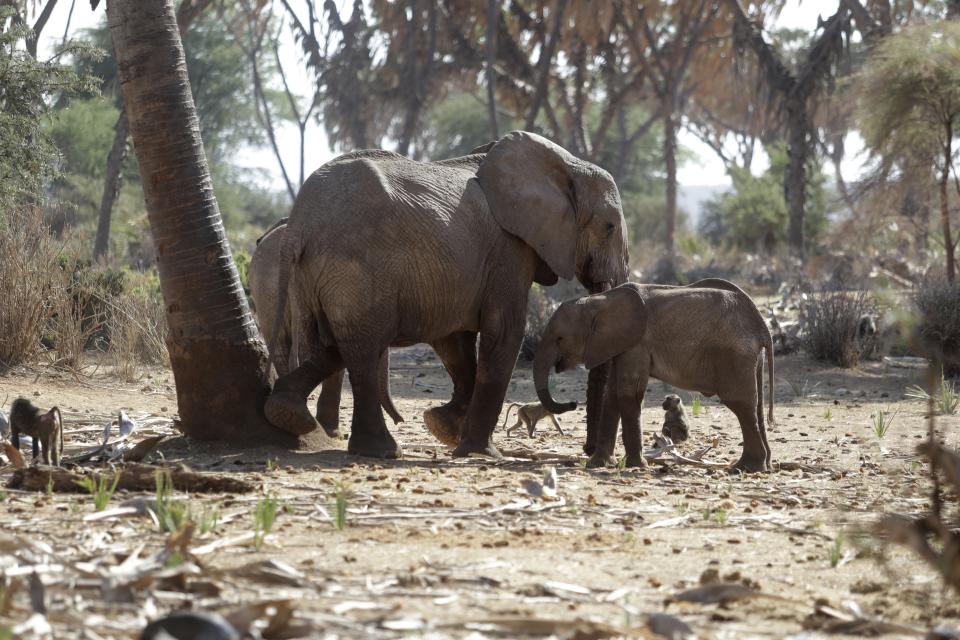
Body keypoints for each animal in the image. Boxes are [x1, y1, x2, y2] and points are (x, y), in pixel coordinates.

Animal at [536, 278, 776, 472]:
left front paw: (636, 465)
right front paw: (597, 465)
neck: (600, 300)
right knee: (756, 406)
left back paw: (744, 468)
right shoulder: (622, 344)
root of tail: (762, 327)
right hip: (750, 357)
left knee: (740, 404)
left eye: (560, 338)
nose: (572, 403)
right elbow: (611, 397)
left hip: (734, 354)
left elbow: (628, 395)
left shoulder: (638, 343)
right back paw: (763, 466)